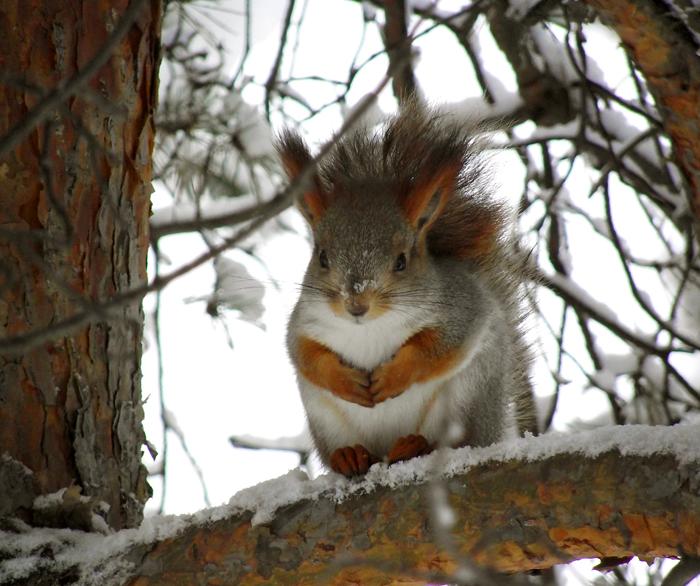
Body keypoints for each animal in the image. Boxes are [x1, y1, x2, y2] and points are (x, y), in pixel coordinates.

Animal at [276, 101, 532, 474]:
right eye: (321, 257)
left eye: (401, 261)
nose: (356, 304)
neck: (369, 327)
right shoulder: (305, 321)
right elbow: (303, 353)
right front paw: (343, 380)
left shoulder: (463, 307)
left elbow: (441, 346)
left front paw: (395, 375)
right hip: (325, 419)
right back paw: (349, 455)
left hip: (468, 399)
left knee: (456, 439)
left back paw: (418, 445)